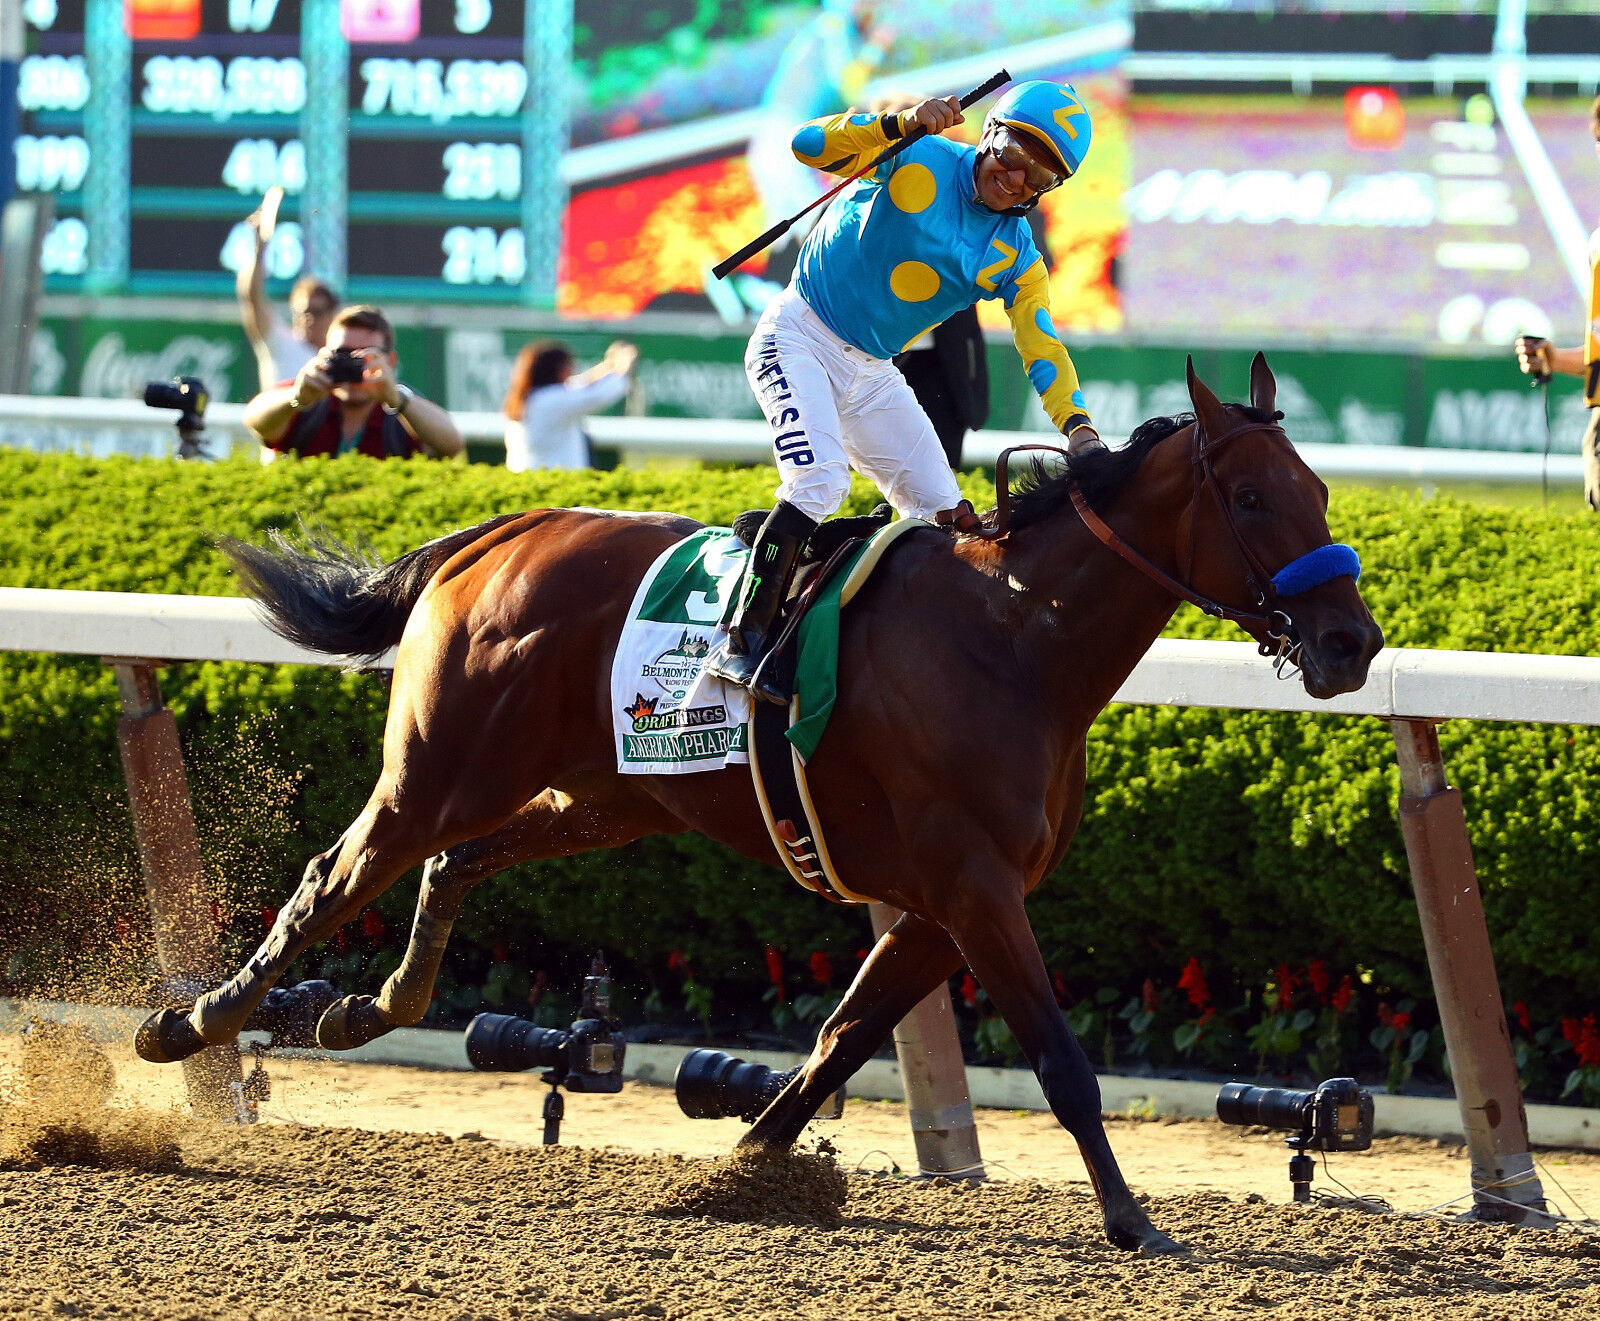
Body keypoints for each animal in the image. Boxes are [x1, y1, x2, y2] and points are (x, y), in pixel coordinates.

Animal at [137, 355, 1382, 1253]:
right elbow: (1059, 1058)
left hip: (604, 796)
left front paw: (740, 1171)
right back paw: (186, 1023)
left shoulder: (942, 905)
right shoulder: (975, 889)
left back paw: (363, 1008)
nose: (1352, 643)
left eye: (1322, 490)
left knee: (452, 864)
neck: (1013, 638)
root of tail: (498, 531)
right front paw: (1132, 1221)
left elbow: (838, 1040)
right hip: (440, 771)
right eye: (1253, 495)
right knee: (332, 878)